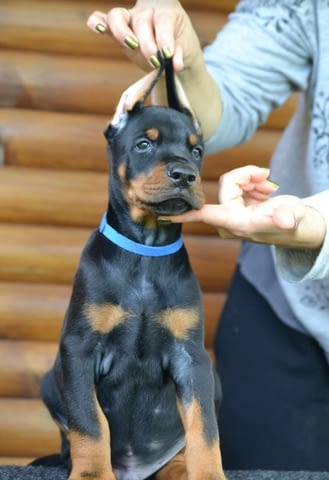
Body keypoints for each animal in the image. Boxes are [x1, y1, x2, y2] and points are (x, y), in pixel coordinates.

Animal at [40, 57, 226, 480]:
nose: (184, 175)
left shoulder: (192, 357)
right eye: (144, 144)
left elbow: (204, 426)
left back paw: (178, 469)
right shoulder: (79, 347)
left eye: (196, 150)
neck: (146, 250)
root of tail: (136, 470)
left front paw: (209, 474)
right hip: (49, 380)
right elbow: (90, 422)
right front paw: (91, 473)